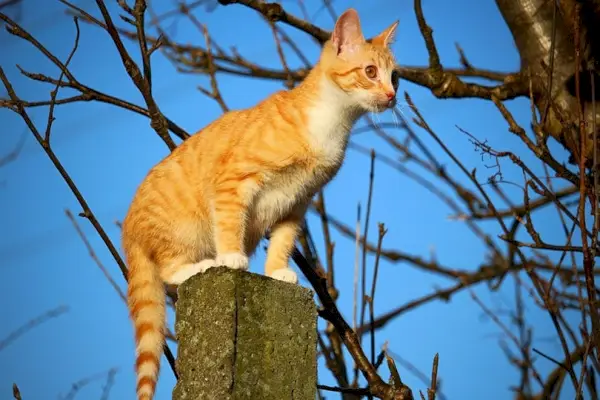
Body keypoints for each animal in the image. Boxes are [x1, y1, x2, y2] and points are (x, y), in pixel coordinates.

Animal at [123, 7, 398, 400]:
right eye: (371, 72)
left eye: (396, 77)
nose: (392, 96)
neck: (332, 123)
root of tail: (128, 230)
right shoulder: (233, 180)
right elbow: (229, 222)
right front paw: (231, 256)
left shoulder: (298, 202)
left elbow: (283, 240)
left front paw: (276, 270)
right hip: (182, 231)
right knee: (168, 271)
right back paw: (203, 265)